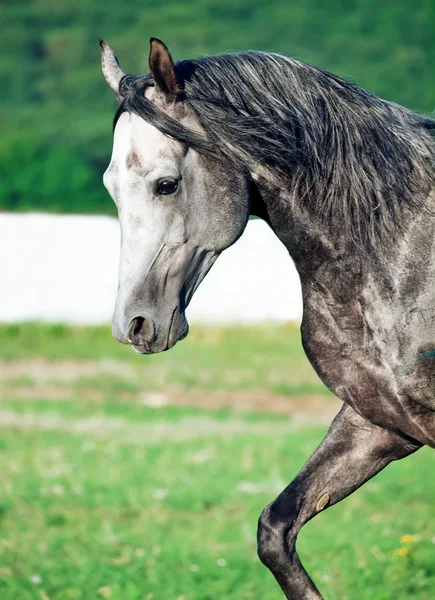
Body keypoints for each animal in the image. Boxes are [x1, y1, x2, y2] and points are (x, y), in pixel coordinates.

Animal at [100, 38, 435, 600]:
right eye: (110, 186)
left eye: (166, 184)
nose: (133, 326)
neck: (395, 246)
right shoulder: (378, 421)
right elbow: (275, 530)